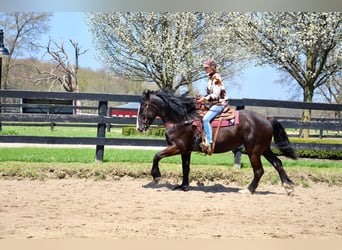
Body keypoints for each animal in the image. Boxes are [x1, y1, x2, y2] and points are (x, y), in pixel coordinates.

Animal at [136, 89, 296, 195]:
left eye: (144, 106)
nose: (139, 128)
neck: (182, 120)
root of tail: (266, 119)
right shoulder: (185, 150)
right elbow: (185, 168)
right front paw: (183, 186)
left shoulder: (177, 147)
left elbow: (157, 156)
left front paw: (156, 176)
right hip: (263, 149)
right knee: (277, 163)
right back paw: (288, 187)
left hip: (254, 151)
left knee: (259, 170)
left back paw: (248, 190)